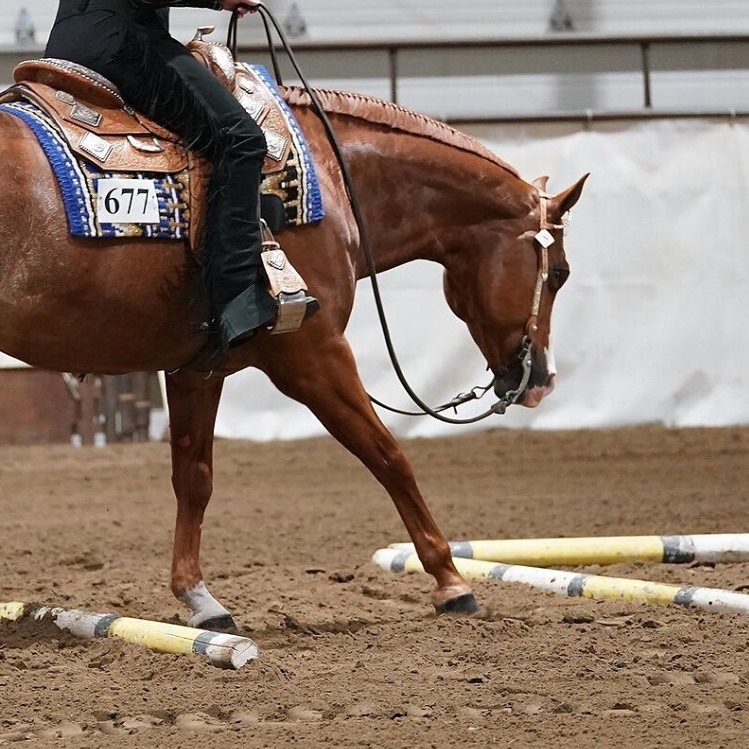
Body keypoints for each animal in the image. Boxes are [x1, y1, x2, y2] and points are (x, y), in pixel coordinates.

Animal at [0, 82, 586, 631]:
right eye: (559, 273)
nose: (543, 380)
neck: (331, 181)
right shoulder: (314, 355)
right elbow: (388, 455)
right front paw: (451, 582)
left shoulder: (198, 369)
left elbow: (194, 477)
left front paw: (200, 601)